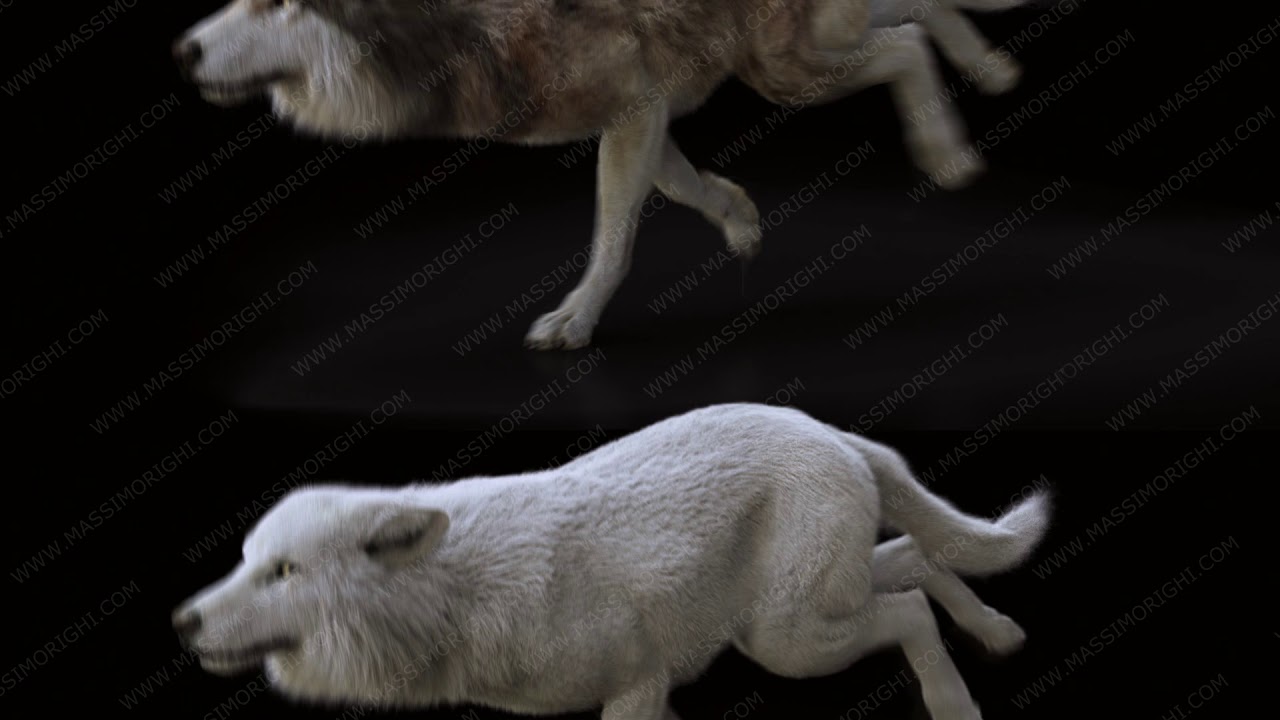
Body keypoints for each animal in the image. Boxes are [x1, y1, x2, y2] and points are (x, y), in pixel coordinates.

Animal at [173, 402, 1049, 719]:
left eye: (283, 573)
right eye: (246, 561)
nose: (181, 621)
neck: (457, 597)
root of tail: (829, 430)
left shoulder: (637, 684)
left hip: (787, 641)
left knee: (910, 605)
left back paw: (957, 708)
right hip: (810, 609)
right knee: (918, 559)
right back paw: (1000, 633)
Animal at [174, 0, 1034, 350]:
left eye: (279, 3)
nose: (180, 49)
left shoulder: (634, 107)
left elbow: (613, 239)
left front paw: (576, 321)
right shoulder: (644, 112)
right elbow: (682, 186)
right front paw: (742, 222)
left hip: (787, 74)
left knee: (905, 44)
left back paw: (950, 155)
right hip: (801, 54)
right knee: (916, 17)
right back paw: (991, 69)